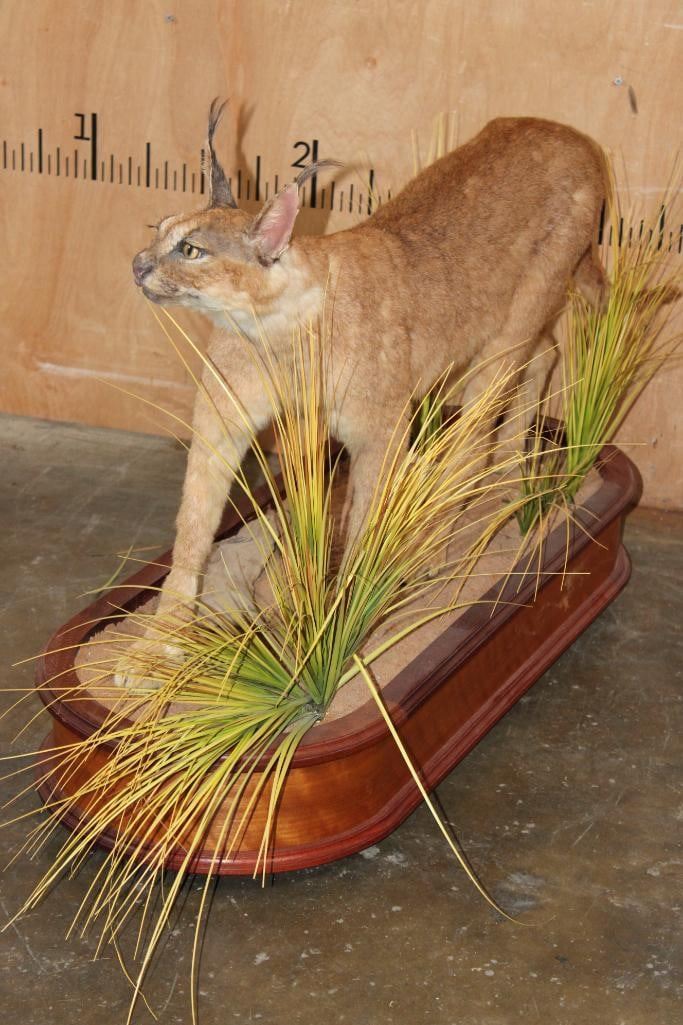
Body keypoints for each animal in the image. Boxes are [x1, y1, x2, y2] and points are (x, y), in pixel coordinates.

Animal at [119, 99, 607, 684]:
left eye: (192, 251)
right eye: (159, 230)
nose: (138, 264)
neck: (273, 333)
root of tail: (568, 134)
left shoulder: (381, 430)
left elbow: (360, 530)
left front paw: (338, 632)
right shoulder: (227, 416)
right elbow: (196, 522)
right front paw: (159, 643)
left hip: (517, 317)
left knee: (481, 424)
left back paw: (461, 526)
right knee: (546, 353)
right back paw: (509, 484)